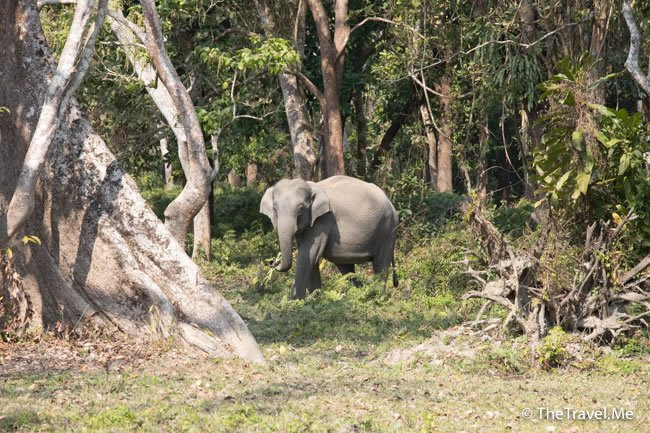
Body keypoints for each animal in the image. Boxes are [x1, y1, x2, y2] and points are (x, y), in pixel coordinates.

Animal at [260, 174, 398, 298]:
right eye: (275, 209)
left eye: (300, 209)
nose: (272, 262)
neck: (311, 186)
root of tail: (391, 204)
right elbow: (310, 257)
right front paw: (314, 299)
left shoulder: (323, 219)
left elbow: (308, 255)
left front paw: (295, 303)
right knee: (347, 269)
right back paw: (362, 294)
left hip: (387, 230)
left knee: (381, 264)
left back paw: (378, 298)